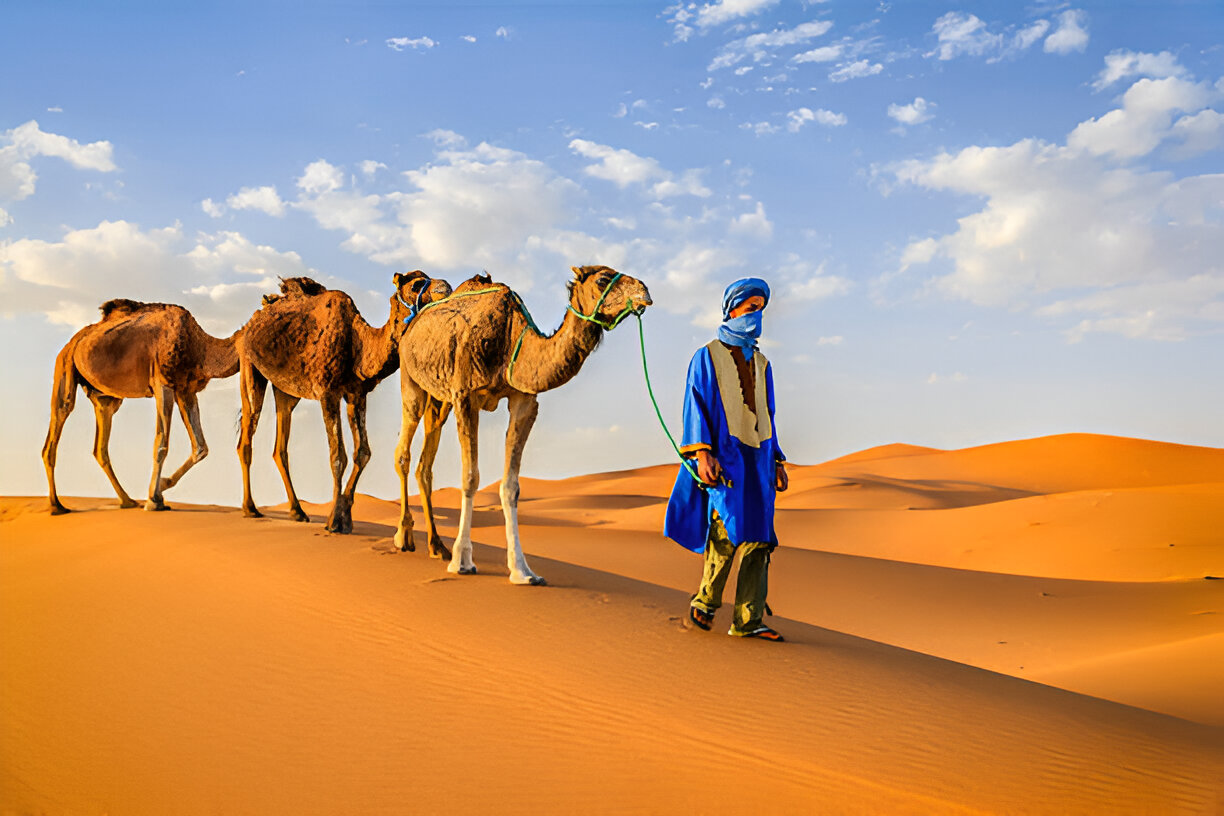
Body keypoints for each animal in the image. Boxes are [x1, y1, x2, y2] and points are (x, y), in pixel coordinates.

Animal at [42, 299, 241, 513]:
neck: (201, 347)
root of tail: (72, 342)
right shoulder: (163, 383)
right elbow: (161, 443)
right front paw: (154, 500)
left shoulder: (185, 391)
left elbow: (201, 447)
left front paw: (161, 489)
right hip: (65, 366)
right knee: (61, 414)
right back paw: (57, 506)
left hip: (106, 397)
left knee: (100, 445)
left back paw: (127, 501)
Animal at [236, 271, 452, 533]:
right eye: (416, 284)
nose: (446, 286)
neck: (358, 345)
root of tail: (252, 321)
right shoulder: (328, 392)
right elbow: (337, 455)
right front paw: (332, 521)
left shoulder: (356, 395)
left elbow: (363, 452)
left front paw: (345, 519)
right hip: (249, 365)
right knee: (247, 433)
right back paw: (250, 508)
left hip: (286, 390)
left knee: (280, 446)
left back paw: (297, 511)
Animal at [396, 265, 656, 584]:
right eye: (603, 278)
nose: (644, 291)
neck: (509, 340)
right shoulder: (466, 395)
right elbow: (470, 477)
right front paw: (462, 561)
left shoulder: (524, 401)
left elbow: (511, 486)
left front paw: (522, 570)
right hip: (411, 379)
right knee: (404, 450)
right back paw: (404, 537)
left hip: (440, 399)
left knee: (425, 463)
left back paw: (436, 546)